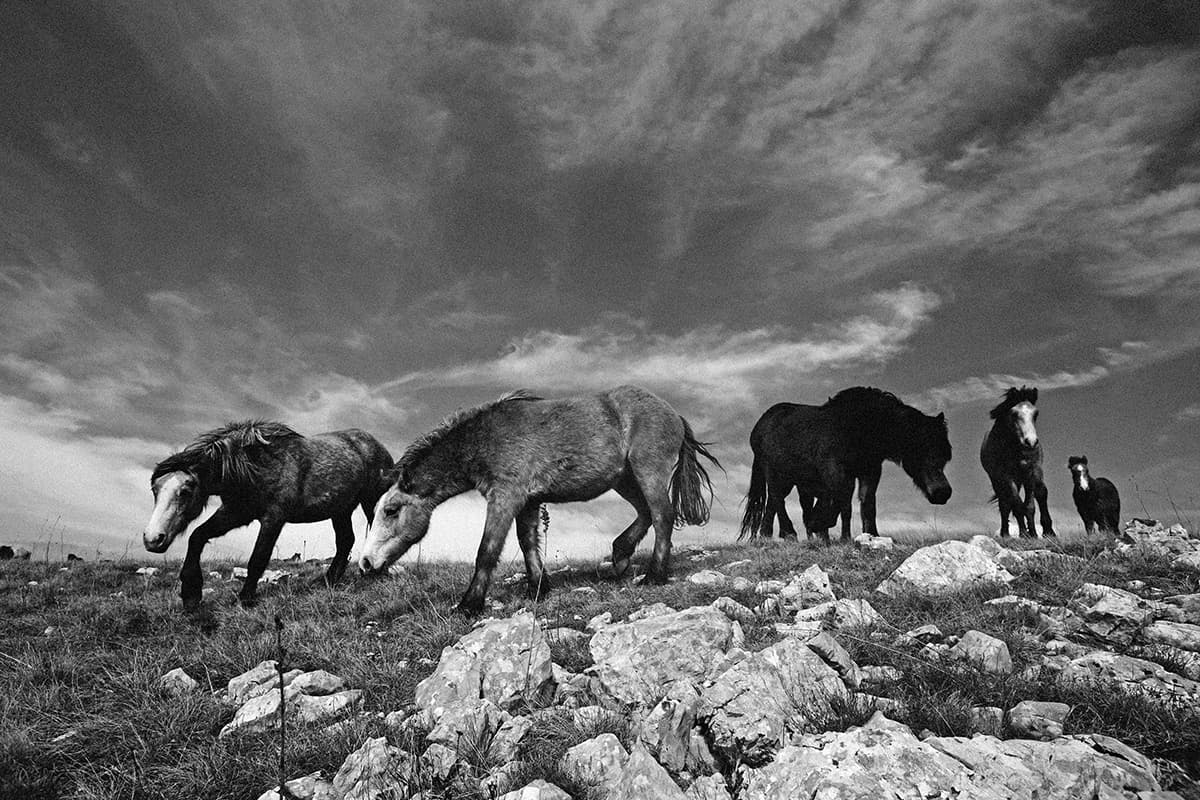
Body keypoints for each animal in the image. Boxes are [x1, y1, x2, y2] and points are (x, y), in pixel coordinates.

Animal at [143, 420, 394, 610]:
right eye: (155, 489)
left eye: (185, 491)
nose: (153, 539)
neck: (255, 468)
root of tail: (378, 446)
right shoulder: (236, 512)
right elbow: (197, 536)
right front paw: (191, 593)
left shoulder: (273, 518)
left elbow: (258, 558)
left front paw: (245, 598)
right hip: (340, 510)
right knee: (345, 541)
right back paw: (329, 580)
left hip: (371, 501)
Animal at [358, 385, 721, 615]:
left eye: (391, 510)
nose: (365, 563)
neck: (485, 439)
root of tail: (673, 414)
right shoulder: (529, 501)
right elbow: (527, 542)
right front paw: (538, 587)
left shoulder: (506, 497)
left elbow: (487, 549)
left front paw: (469, 605)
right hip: (625, 479)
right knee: (646, 513)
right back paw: (620, 556)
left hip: (647, 470)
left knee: (662, 515)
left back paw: (654, 575)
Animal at [740, 387, 952, 542]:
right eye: (920, 450)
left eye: (945, 456)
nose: (942, 492)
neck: (857, 428)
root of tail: (759, 425)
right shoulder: (836, 471)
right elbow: (843, 504)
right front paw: (833, 531)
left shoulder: (869, 471)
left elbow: (867, 504)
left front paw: (871, 535)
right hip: (776, 474)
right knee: (777, 499)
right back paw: (790, 533)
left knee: (772, 503)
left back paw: (767, 537)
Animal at [980, 386, 1054, 538]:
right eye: (1014, 414)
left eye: (1035, 414)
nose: (1031, 442)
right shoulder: (1006, 477)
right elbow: (1017, 505)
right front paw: (1025, 534)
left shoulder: (1032, 471)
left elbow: (1034, 501)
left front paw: (1040, 533)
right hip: (998, 481)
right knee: (1005, 504)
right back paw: (1006, 534)